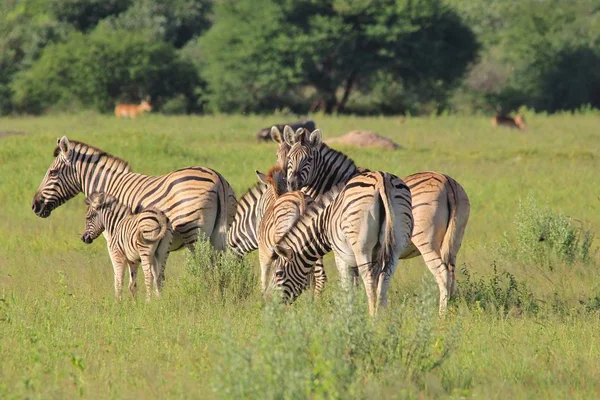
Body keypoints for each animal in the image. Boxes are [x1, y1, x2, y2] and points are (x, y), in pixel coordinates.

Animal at [31, 138, 237, 258]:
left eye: (53, 173)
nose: (34, 206)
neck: (107, 186)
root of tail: (217, 178)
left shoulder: (113, 236)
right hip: (220, 232)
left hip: (193, 231)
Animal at [270, 170, 414, 314]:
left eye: (279, 273)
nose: (272, 305)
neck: (324, 223)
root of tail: (380, 178)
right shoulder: (374, 255)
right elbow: (358, 285)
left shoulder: (341, 255)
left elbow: (347, 287)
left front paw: (348, 313)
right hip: (396, 243)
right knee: (385, 278)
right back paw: (381, 316)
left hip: (362, 248)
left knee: (369, 280)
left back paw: (372, 316)